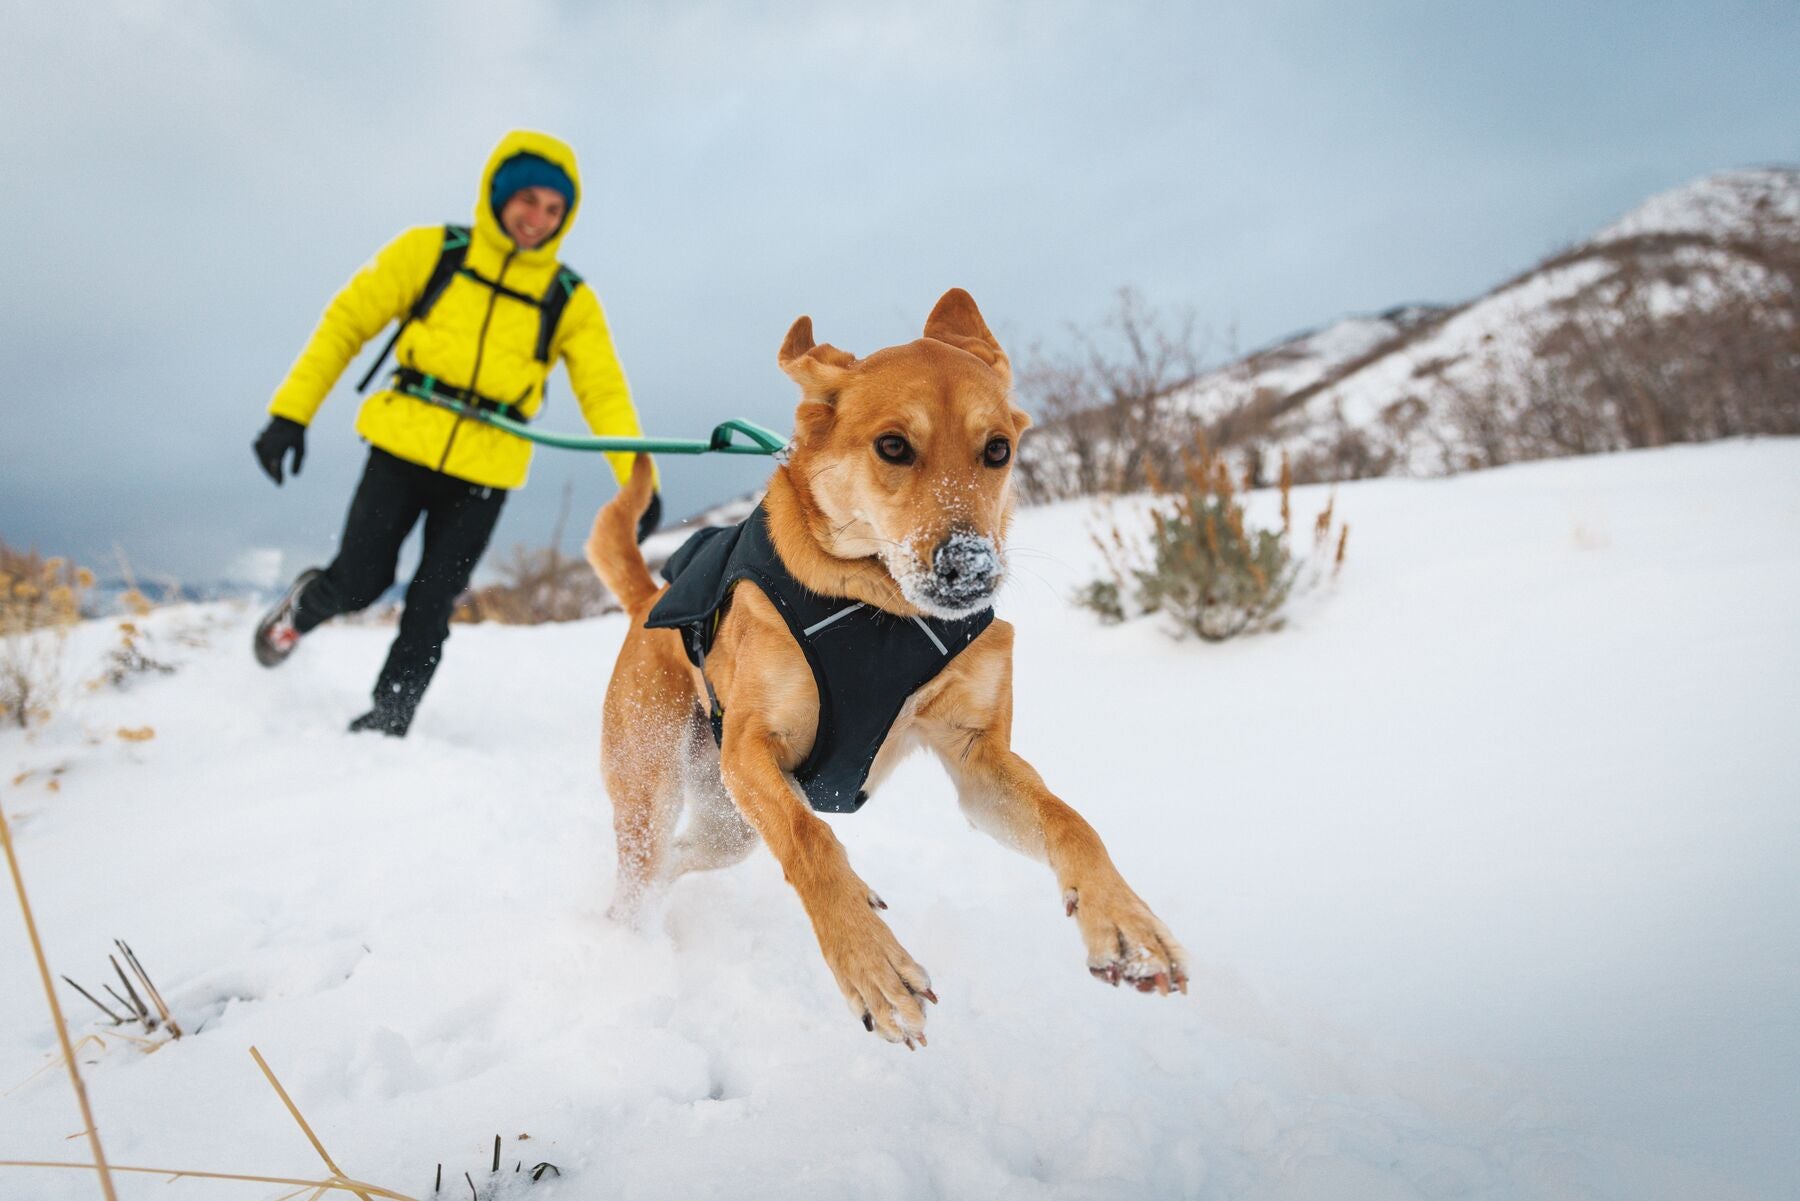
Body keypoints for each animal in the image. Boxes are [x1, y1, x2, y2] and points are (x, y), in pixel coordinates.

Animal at [583, 288, 1188, 1044]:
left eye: (998, 449)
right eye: (893, 446)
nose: (970, 567)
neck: (878, 609)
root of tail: (648, 600)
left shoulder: (978, 762)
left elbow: (1070, 819)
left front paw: (1126, 922)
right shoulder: (752, 748)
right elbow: (811, 840)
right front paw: (869, 962)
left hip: (728, 823)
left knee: (684, 858)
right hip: (658, 783)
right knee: (647, 873)